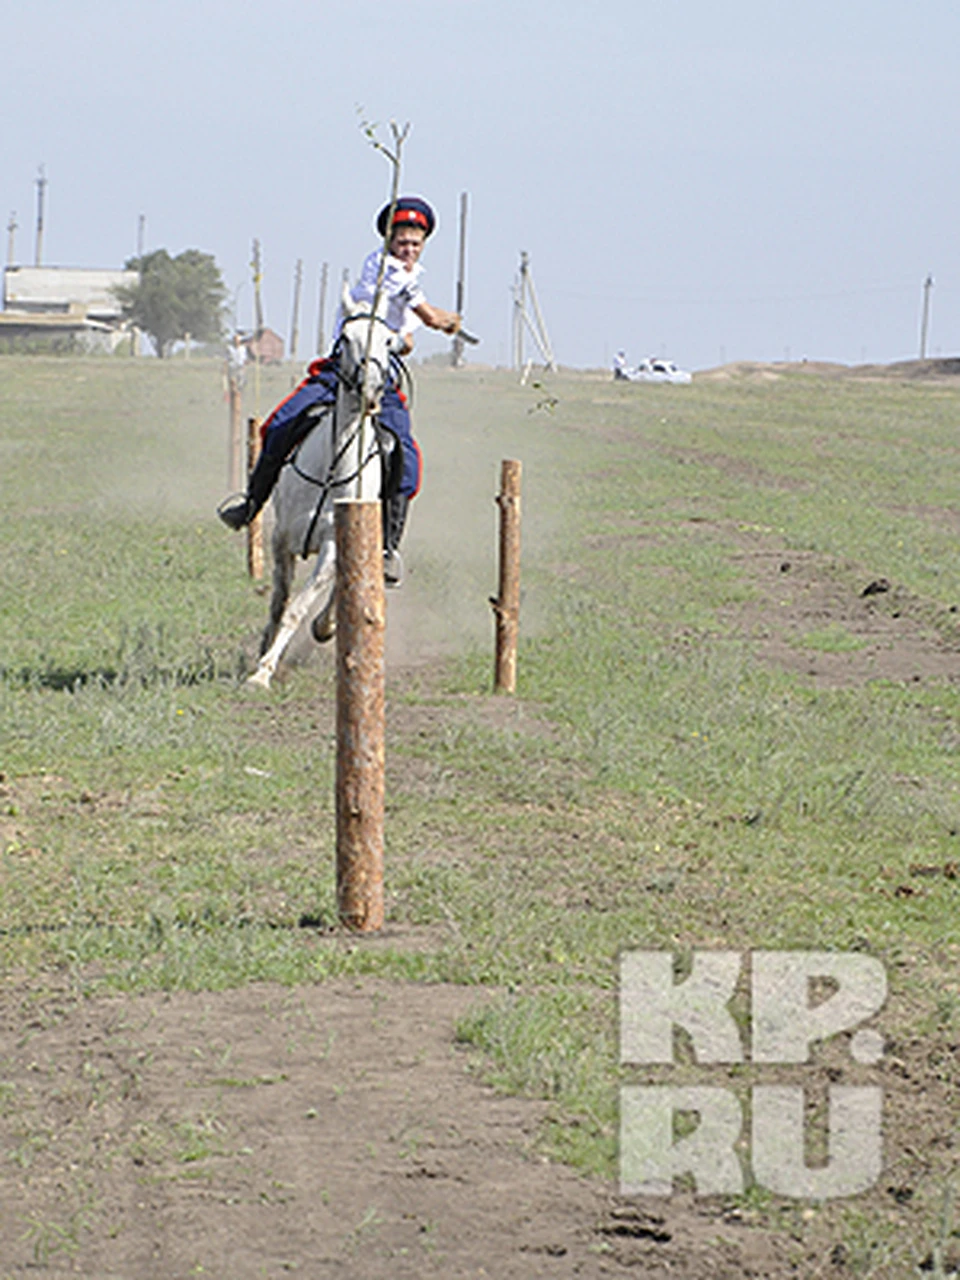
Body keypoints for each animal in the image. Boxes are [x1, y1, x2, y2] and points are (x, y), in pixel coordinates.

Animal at [248, 282, 401, 691]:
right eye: (346, 337)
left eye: (389, 340)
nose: (369, 390)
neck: (333, 465)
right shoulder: (282, 537)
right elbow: (280, 602)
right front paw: (264, 651)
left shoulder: (334, 543)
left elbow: (299, 608)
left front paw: (264, 671)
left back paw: (326, 625)